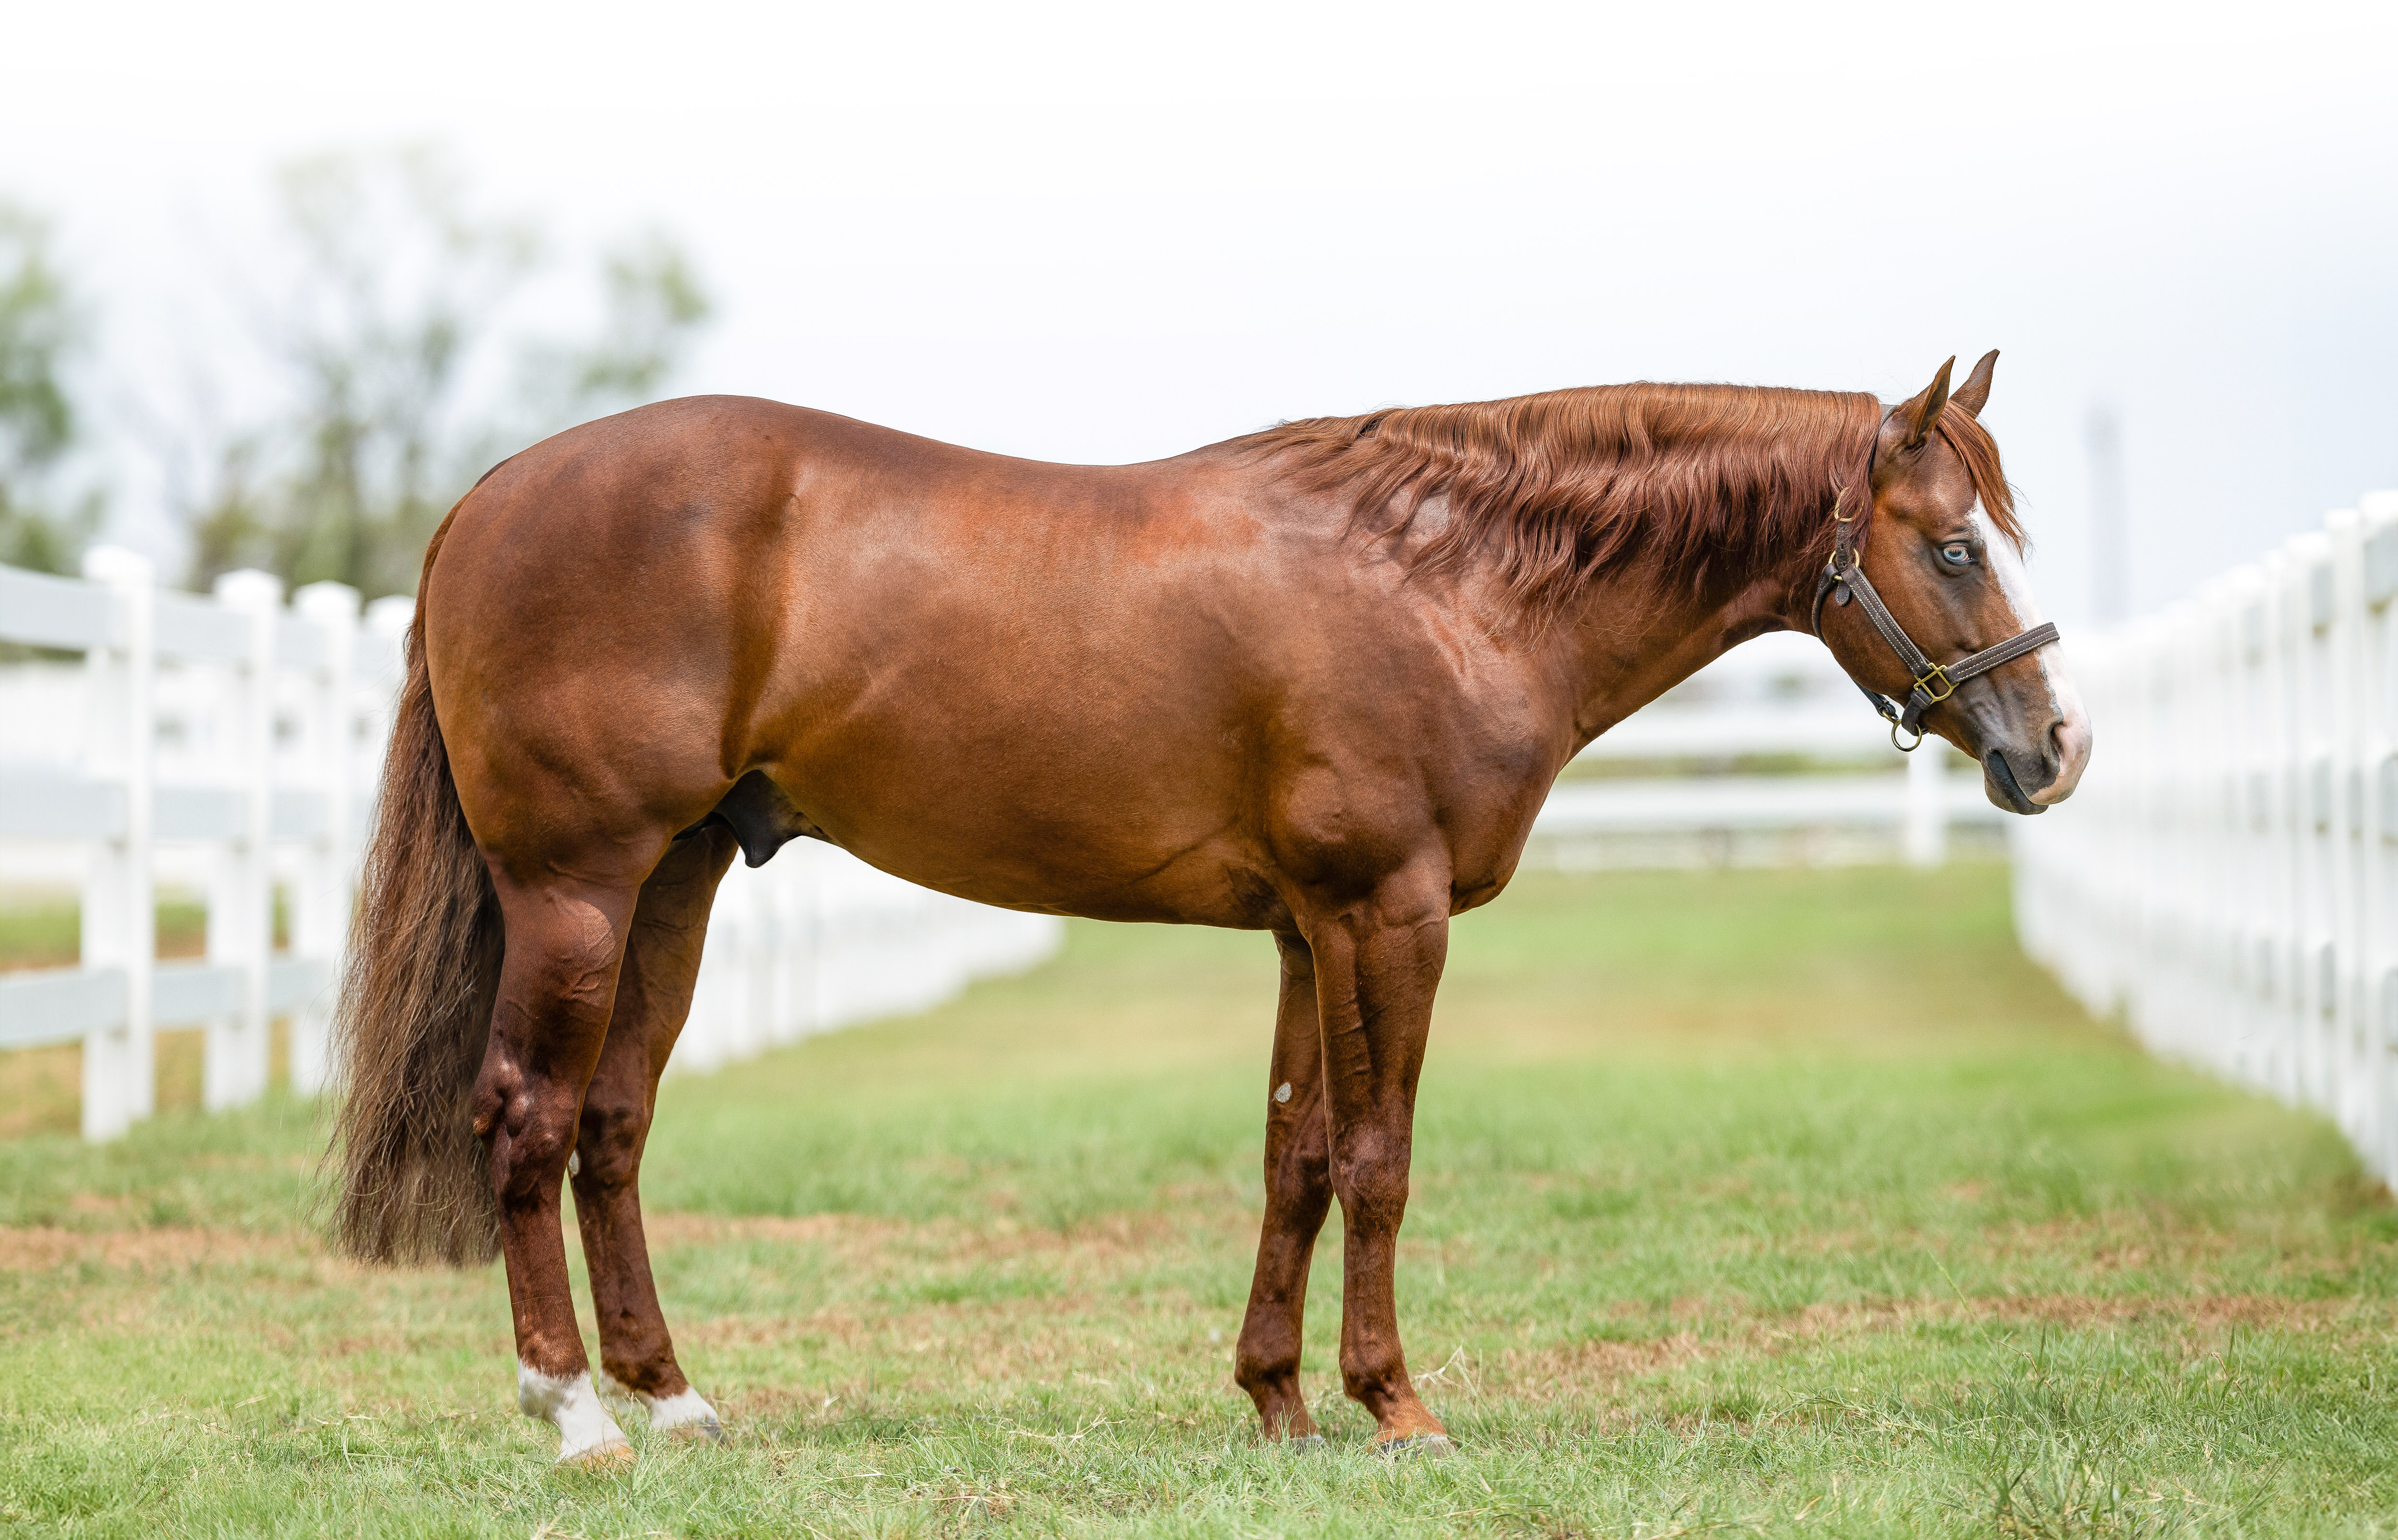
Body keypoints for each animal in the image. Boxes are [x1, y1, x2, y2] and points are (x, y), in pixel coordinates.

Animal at [329, 352, 2089, 1465]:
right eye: (1950, 546)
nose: (2054, 749)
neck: (1442, 583)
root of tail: (486, 498)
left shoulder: (1310, 929)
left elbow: (1294, 1157)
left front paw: (1280, 1404)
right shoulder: (1391, 914)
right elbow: (1379, 1160)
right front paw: (1398, 1409)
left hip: (676, 882)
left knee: (612, 1125)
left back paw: (674, 1403)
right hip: (579, 888)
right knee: (524, 1117)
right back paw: (575, 1421)